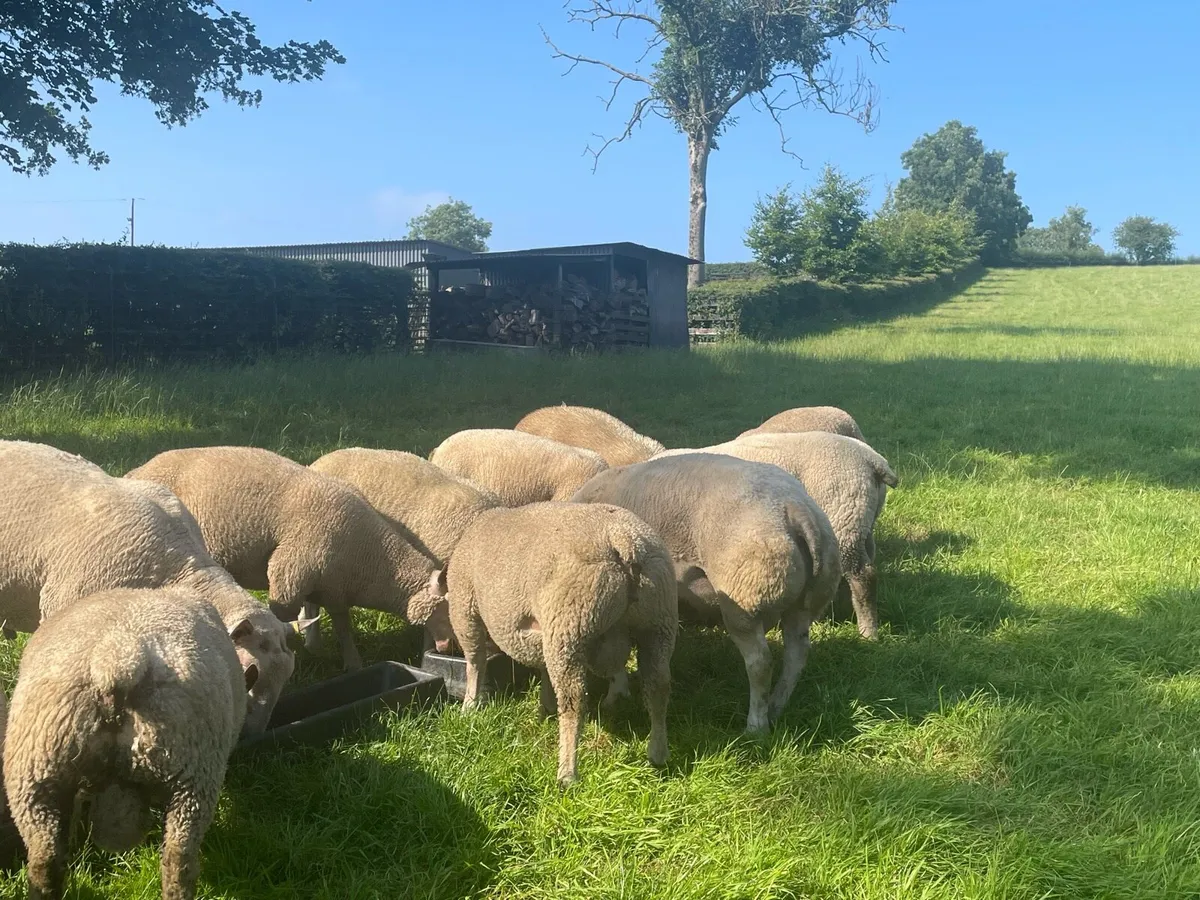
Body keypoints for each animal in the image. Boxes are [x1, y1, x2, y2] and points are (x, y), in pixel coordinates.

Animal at [125, 446, 444, 671]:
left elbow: (343, 627)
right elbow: (284, 619)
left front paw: (352, 663)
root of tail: (135, 471)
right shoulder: (289, 576)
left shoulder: (335, 588)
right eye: (446, 608)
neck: (371, 558)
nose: (445, 649)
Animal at [408, 502, 678, 786]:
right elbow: (543, 668)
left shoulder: (465, 607)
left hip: (570, 626)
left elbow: (475, 662)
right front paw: (545, 707)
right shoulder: (540, 634)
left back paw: (567, 772)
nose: (441, 649)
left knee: (574, 702)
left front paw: (470, 705)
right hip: (658, 622)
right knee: (658, 687)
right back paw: (658, 752)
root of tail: (624, 540)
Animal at [571, 453, 841, 734]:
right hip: (805, 601)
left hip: (744, 598)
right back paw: (776, 707)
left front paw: (614, 697)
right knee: (796, 655)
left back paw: (756, 726)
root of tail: (797, 509)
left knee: (760, 663)